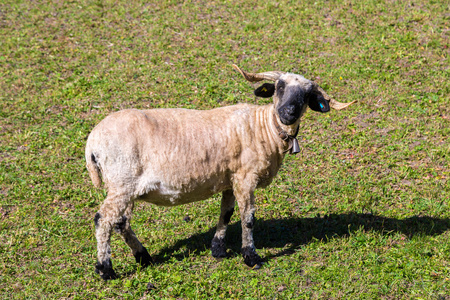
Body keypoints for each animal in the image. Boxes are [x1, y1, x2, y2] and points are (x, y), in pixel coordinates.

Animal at [86, 64, 356, 280]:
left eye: (307, 95)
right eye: (279, 87)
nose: (288, 112)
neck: (265, 127)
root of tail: (92, 142)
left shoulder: (230, 178)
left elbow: (226, 213)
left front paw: (217, 249)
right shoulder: (246, 177)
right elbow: (248, 218)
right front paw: (251, 257)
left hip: (125, 187)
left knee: (120, 222)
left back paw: (144, 257)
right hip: (122, 182)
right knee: (103, 220)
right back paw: (106, 269)